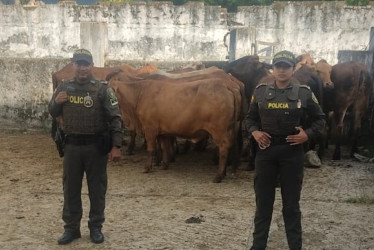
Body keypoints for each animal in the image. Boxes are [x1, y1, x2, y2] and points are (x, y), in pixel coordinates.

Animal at [109, 73, 243, 183]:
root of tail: (226, 84)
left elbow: (151, 149)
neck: (139, 93)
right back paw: (225, 172)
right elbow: (164, 148)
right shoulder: (162, 132)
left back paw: (219, 176)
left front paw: (147, 167)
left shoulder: (150, 128)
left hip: (220, 131)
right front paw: (164, 164)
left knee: (224, 149)